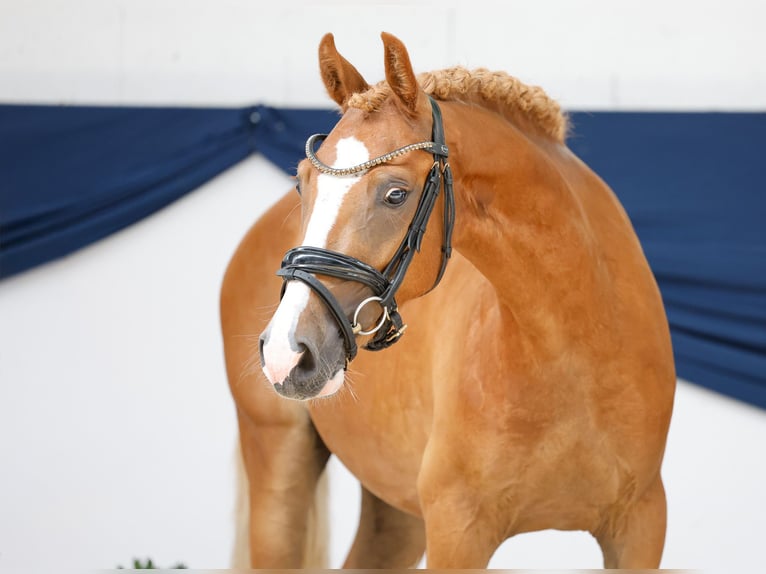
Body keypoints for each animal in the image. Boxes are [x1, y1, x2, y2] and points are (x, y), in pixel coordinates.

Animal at [220, 32, 676, 569]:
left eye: (396, 194)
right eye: (301, 183)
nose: (285, 351)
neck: (572, 351)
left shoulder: (640, 527)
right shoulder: (458, 529)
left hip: (397, 508)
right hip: (278, 461)